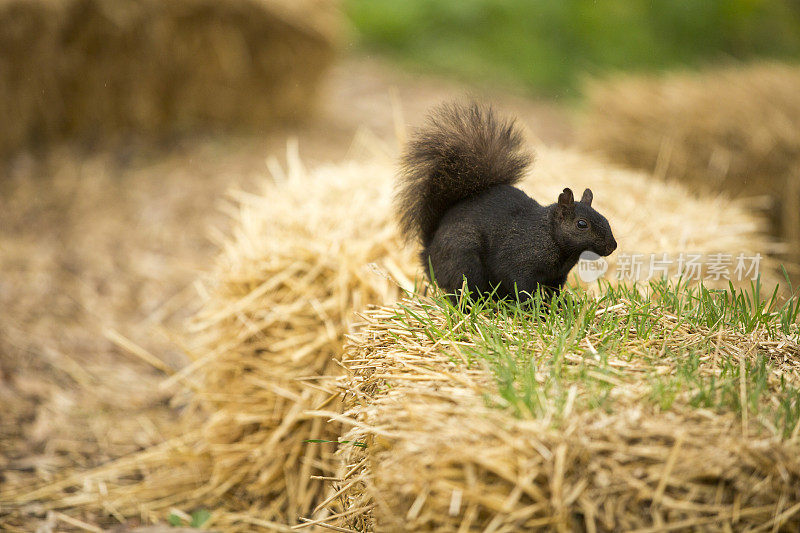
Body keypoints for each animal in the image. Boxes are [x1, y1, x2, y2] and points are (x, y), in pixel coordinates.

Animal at [396, 100, 616, 300]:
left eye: (604, 218)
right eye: (582, 224)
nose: (612, 246)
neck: (549, 236)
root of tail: (428, 253)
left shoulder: (558, 276)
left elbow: (553, 292)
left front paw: (558, 306)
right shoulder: (519, 261)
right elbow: (523, 288)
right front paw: (534, 309)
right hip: (463, 261)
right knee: (460, 290)